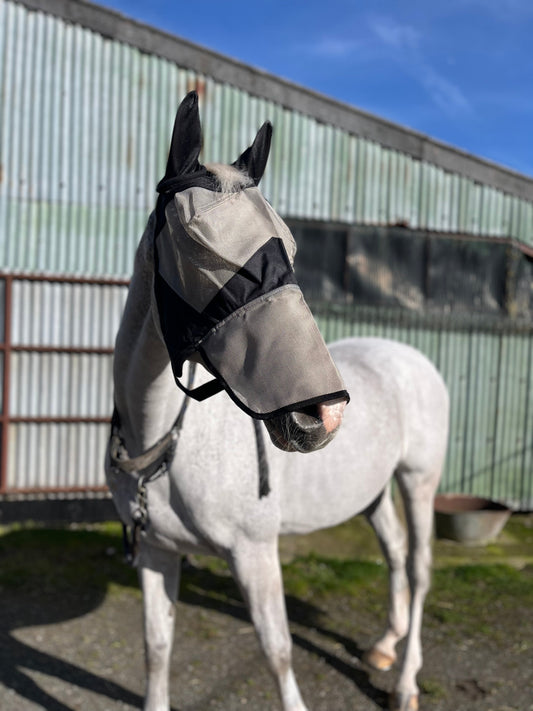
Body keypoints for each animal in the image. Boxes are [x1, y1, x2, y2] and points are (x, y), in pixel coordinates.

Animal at [105, 92, 449, 711]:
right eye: (196, 242)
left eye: (288, 245)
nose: (323, 415)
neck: (166, 440)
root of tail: (410, 357)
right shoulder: (157, 553)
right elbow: (156, 647)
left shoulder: (254, 553)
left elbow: (277, 652)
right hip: (375, 491)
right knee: (392, 554)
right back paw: (385, 647)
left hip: (419, 480)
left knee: (418, 569)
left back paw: (407, 681)